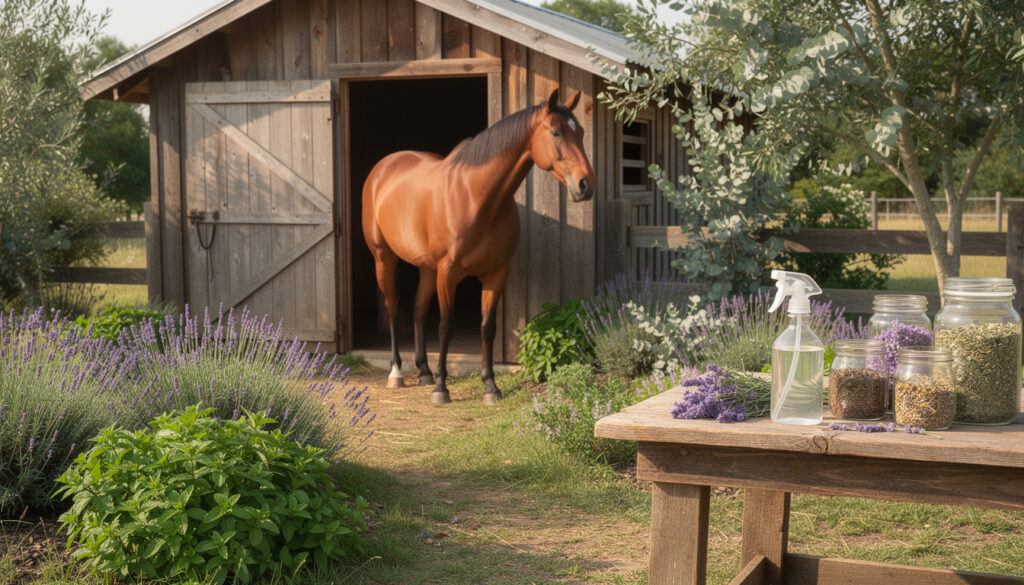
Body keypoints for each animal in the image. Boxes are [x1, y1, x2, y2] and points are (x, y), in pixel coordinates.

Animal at [362, 89, 595, 404]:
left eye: (580, 132)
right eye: (556, 132)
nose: (585, 184)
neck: (477, 197)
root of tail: (382, 167)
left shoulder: (496, 273)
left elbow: (488, 328)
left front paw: (490, 386)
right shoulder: (448, 273)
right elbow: (446, 327)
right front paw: (442, 388)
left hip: (426, 267)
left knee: (419, 310)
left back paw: (424, 371)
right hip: (384, 258)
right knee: (393, 308)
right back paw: (397, 372)